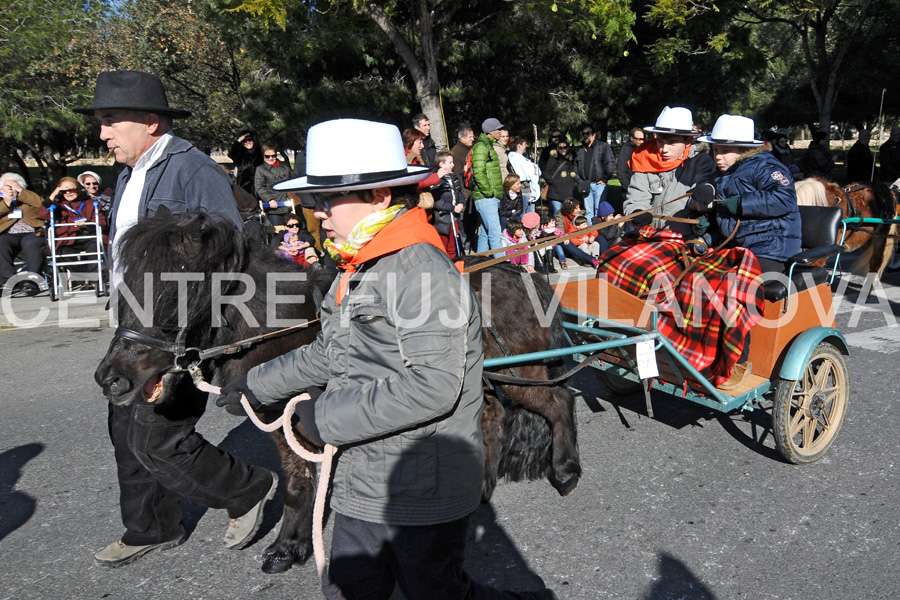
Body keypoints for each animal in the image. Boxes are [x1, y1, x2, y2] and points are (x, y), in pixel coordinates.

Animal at [95, 210, 580, 572]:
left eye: (173, 295)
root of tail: (521, 273)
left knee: (557, 401)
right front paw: (291, 544)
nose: (111, 378)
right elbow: (297, 482)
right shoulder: (283, 421)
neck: (287, 328)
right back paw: (478, 487)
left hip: (521, 371)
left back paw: (565, 470)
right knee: (494, 418)